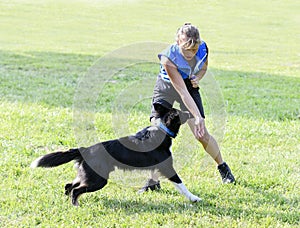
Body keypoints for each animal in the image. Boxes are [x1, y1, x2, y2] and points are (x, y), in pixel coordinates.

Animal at [30, 108, 200, 206]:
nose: (192, 113)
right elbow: (180, 184)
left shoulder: (156, 167)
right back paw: (75, 205)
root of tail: (85, 149)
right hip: (98, 179)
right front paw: (194, 198)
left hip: (87, 175)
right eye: (182, 113)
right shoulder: (167, 167)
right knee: (75, 190)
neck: (163, 129)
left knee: (68, 186)